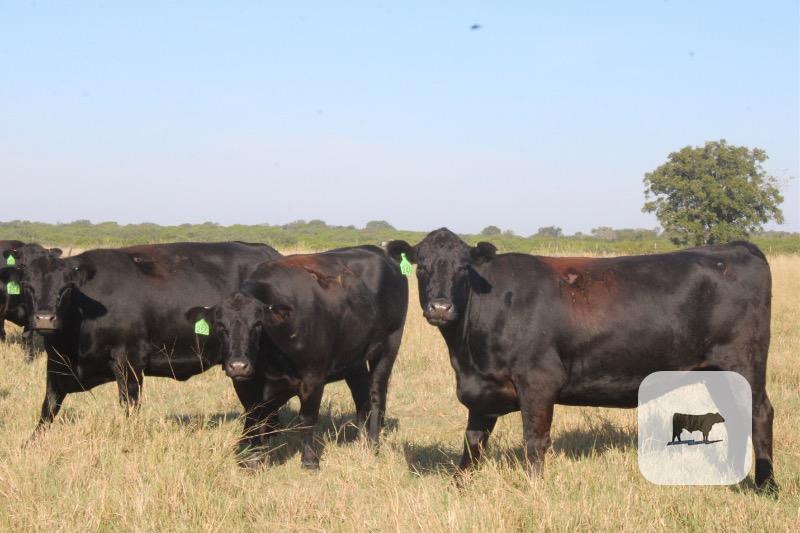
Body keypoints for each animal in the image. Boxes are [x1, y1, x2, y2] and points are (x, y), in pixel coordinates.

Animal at [0, 241, 279, 435]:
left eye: (66, 288)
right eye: (27, 285)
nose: (44, 319)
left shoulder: (129, 362)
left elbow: (129, 406)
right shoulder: (56, 365)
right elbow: (48, 409)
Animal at [184, 245, 408, 469]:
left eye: (257, 324)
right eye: (220, 326)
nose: (238, 365)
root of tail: (379, 252)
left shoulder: (313, 378)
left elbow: (307, 419)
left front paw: (309, 461)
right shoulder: (246, 383)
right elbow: (254, 419)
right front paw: (252, 458)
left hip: (388, 346)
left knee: (376, 396)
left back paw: (373, 444)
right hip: (354, 360)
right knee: (361, 399)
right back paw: (361, 442)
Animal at [386, 228, 777, 493]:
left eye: (463, 269)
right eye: (421, 267)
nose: (440, 307)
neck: (466, 354)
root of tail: (734, 247)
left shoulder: (538, 380)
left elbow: (535, 442)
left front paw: (535, 492)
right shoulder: (483, 387)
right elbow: (473, 441)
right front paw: (457, 488)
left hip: (743, 363)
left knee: (759, 413)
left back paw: (766, 486)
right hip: (718, 372)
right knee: (736, 416)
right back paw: (732, 476)